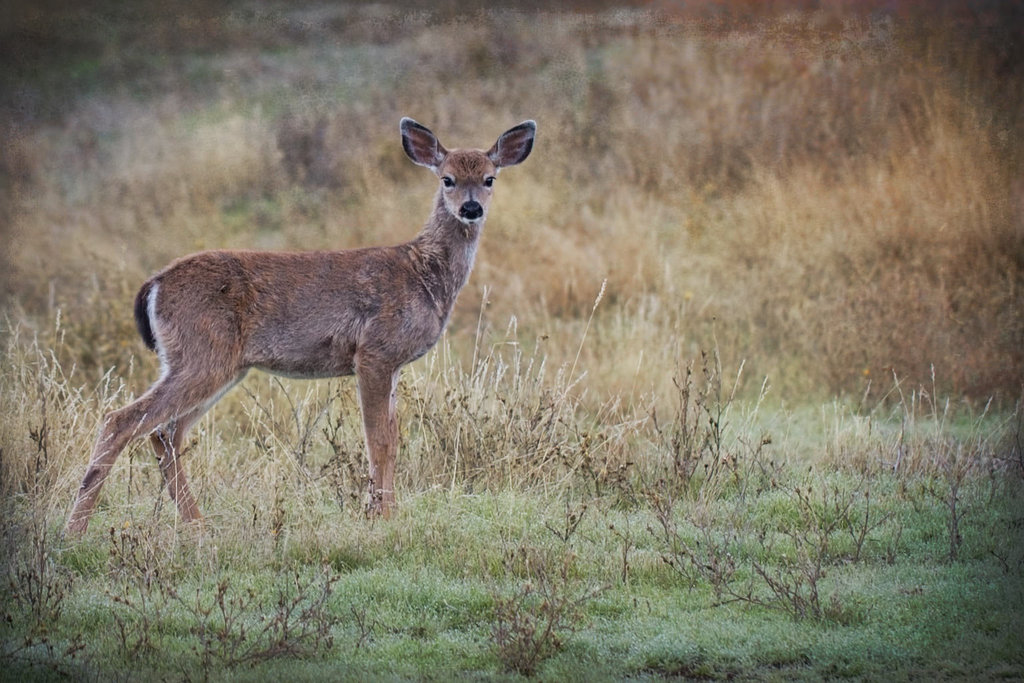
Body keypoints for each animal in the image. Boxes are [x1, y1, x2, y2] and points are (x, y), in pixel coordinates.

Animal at [65, 116, 540, 532]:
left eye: (489, 178)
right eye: (447, 179)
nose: (471, 208)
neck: (424, 275)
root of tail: (154, 284)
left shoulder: (393, 364)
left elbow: (392, 438)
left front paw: (387, 512)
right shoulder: (374, 352)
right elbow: (379, 440)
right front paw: (380, 517)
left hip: (213, 364)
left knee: (165, 433)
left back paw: (197, 526)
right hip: (202, 354)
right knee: (122, 420)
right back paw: (76, 529)